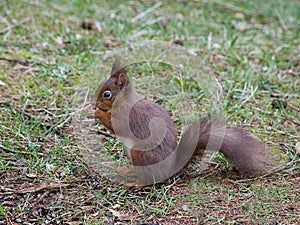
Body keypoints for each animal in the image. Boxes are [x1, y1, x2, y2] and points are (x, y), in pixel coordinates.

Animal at [87, 59, 276, 185]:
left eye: (107, 94)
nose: (94, 103)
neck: (124, 101)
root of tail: (170, 168)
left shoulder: (125, 116)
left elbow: (115, 125)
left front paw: (94, 112)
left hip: (140, 154)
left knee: (147, 179)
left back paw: (135, 183)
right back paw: (126, 171)